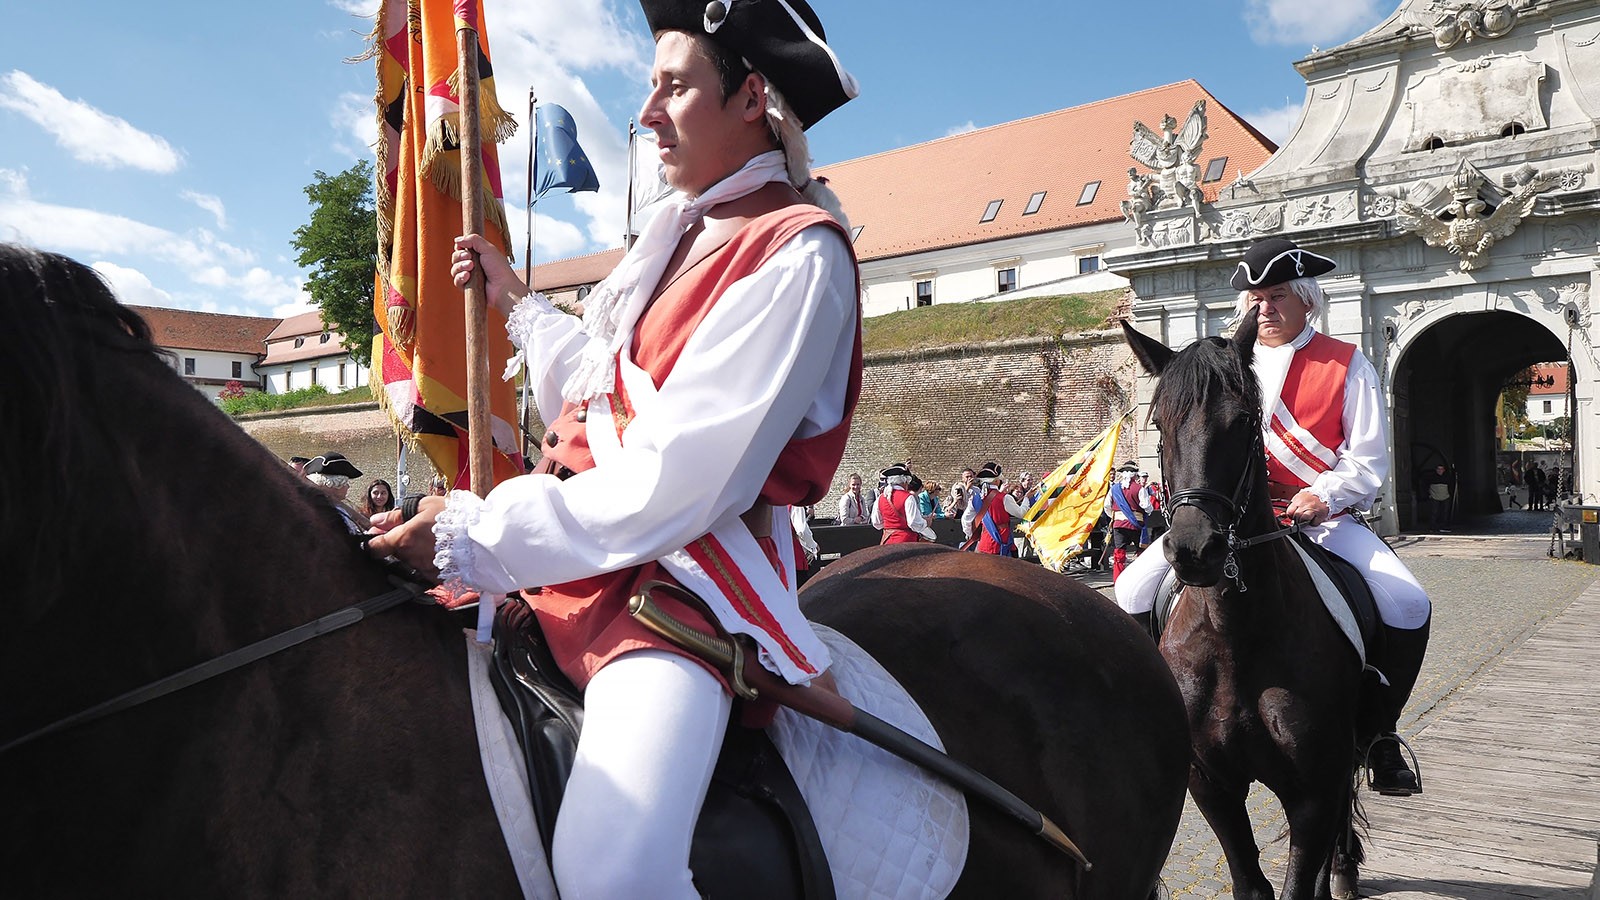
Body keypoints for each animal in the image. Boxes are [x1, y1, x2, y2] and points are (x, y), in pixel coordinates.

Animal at [1126, 317, 1363, 896]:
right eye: (1159, 424)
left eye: (1243, 421)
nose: (1194, 548)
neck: (1235, 639)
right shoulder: (1211, 784)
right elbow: (1251, 882)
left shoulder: (1313, 790)